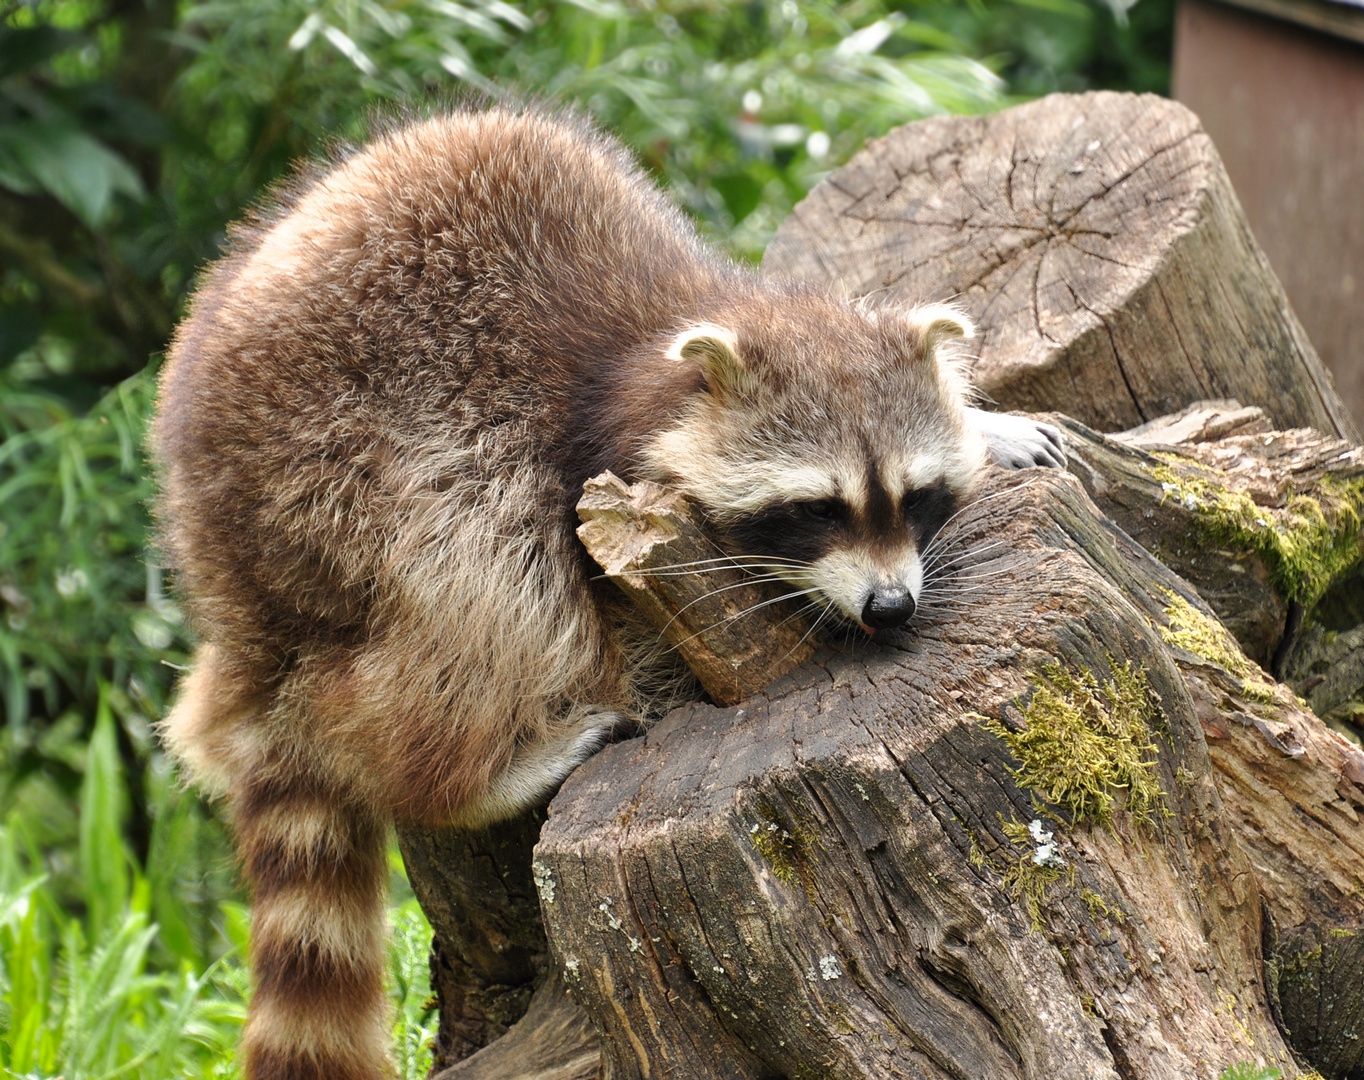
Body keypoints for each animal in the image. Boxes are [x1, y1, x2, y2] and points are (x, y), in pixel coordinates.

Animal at [152, 103, 1063, 1080]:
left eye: (915, 497)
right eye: (818, 509)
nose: (889, 608)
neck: (666, 358)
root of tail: (231, 606)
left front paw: (991, 425)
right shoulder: (573, 444)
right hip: (323, 487)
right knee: (480, 569)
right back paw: (467, 773)